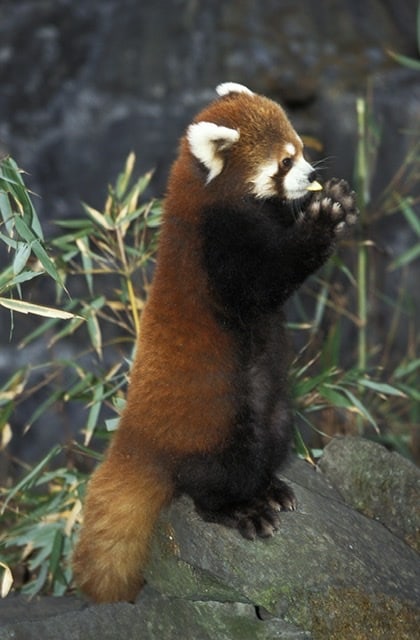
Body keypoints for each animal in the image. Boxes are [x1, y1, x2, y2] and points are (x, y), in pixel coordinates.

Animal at [72, 82, 358, 604]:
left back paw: (271, 488)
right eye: (286, 161)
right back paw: (243, 510)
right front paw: (325, 216)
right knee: (212, 481)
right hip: (216, 423)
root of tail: (141, 438)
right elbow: (268, 281)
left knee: (272, 438)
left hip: (276, 412)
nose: (311, 175)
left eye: (302, 148)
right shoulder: (218, 252)